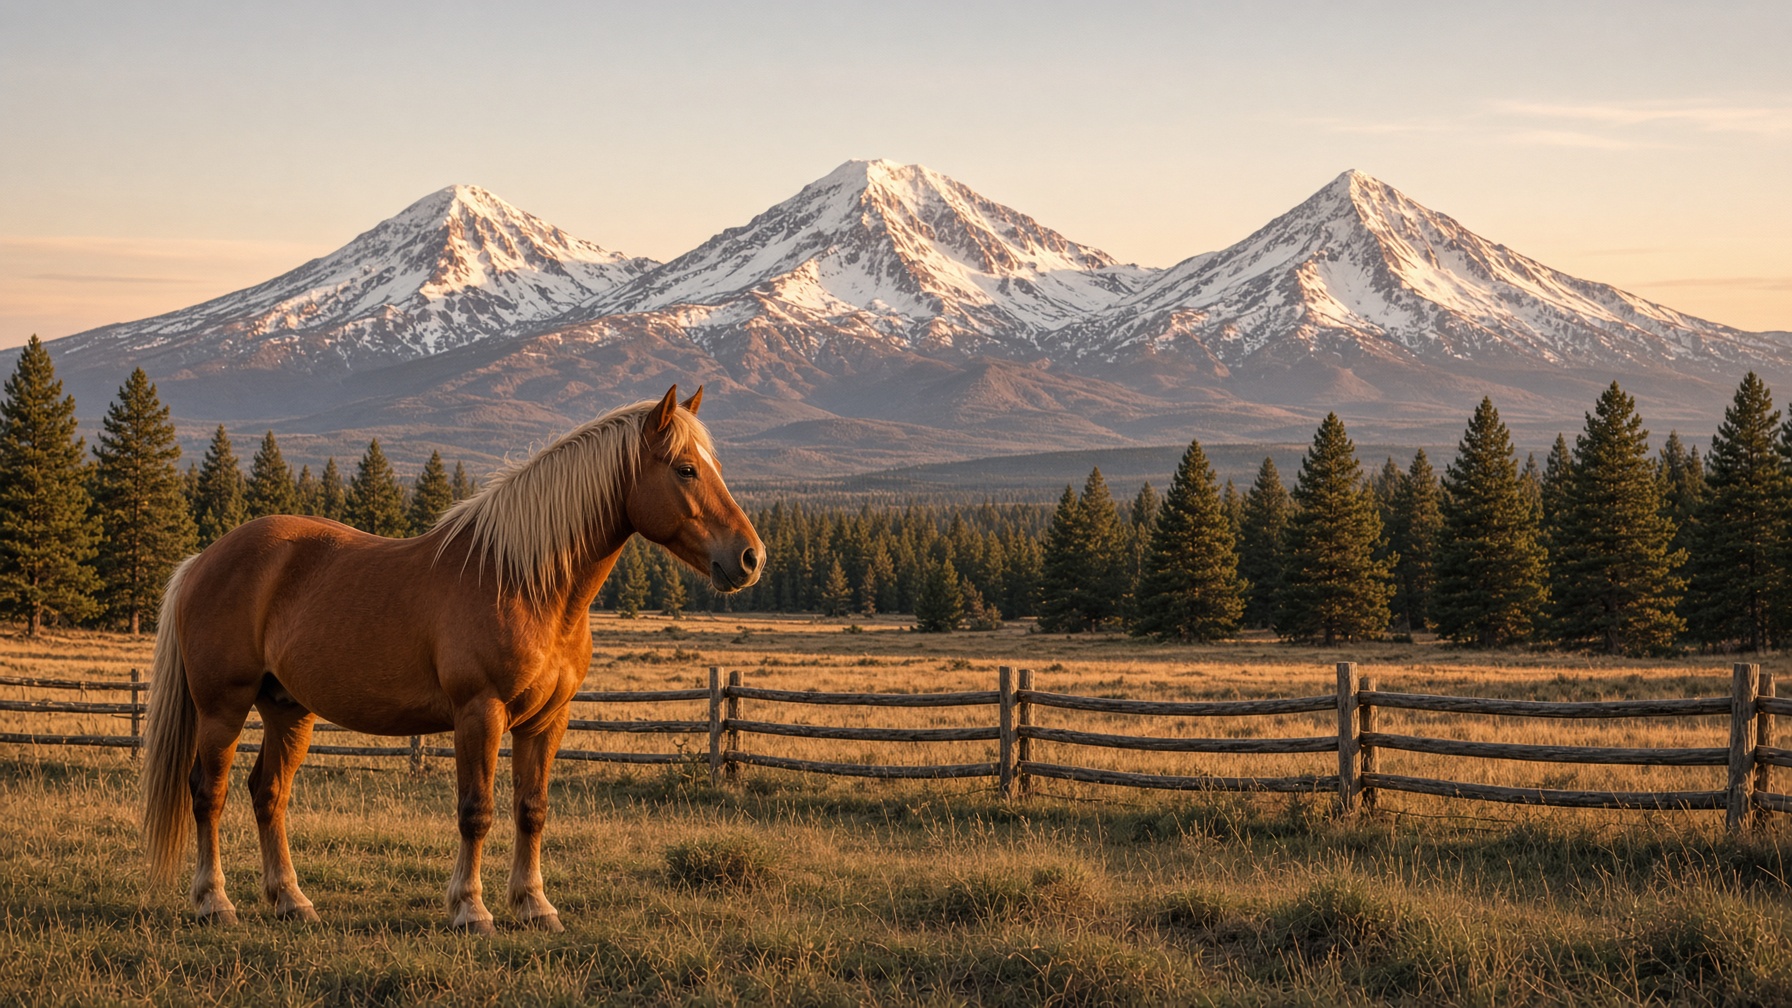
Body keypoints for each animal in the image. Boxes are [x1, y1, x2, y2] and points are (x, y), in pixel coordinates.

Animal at [141, 386, 762, 932]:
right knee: (209, 793)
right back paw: (214, 902)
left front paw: (535, 906)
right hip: (222, 709)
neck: (524, 582)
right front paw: (471, 909)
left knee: (268, 793)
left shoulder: (546, 720)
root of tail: (202, 559)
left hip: (288, 709)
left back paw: (292, 901)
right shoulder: (479, 713)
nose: (750, 557)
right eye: (685, 469)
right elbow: (476, 811)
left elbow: (532, 809)